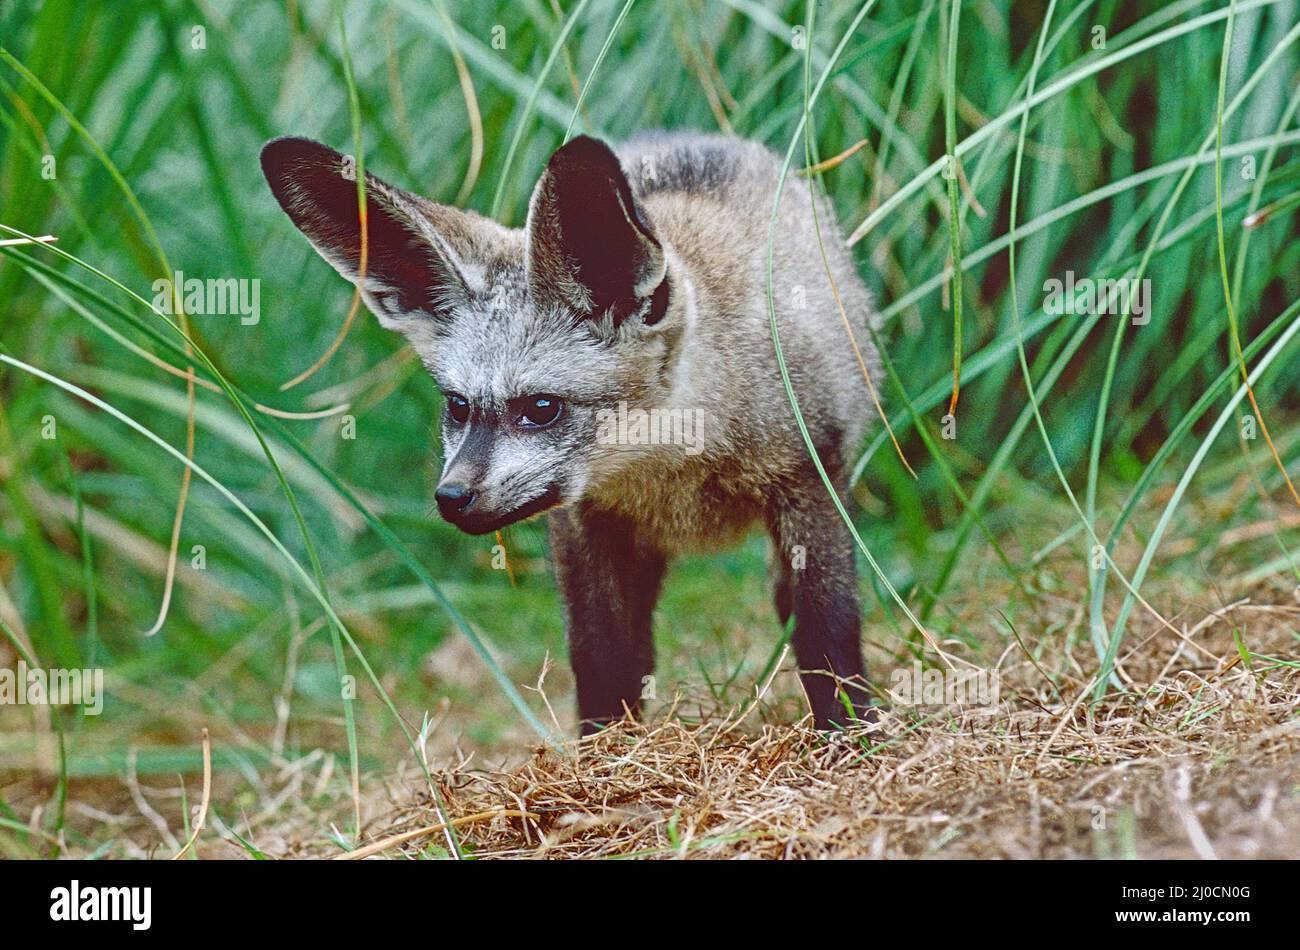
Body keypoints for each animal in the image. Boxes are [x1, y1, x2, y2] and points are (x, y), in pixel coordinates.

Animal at [260, 130, 880, 734]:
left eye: (540, 407)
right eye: (458, 407)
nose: (451, 497)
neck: (677, 466)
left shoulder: (809, 479)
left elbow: (827, 633)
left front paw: (849, 734)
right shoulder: (584, 524)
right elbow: (602, 659)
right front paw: (602, 753)